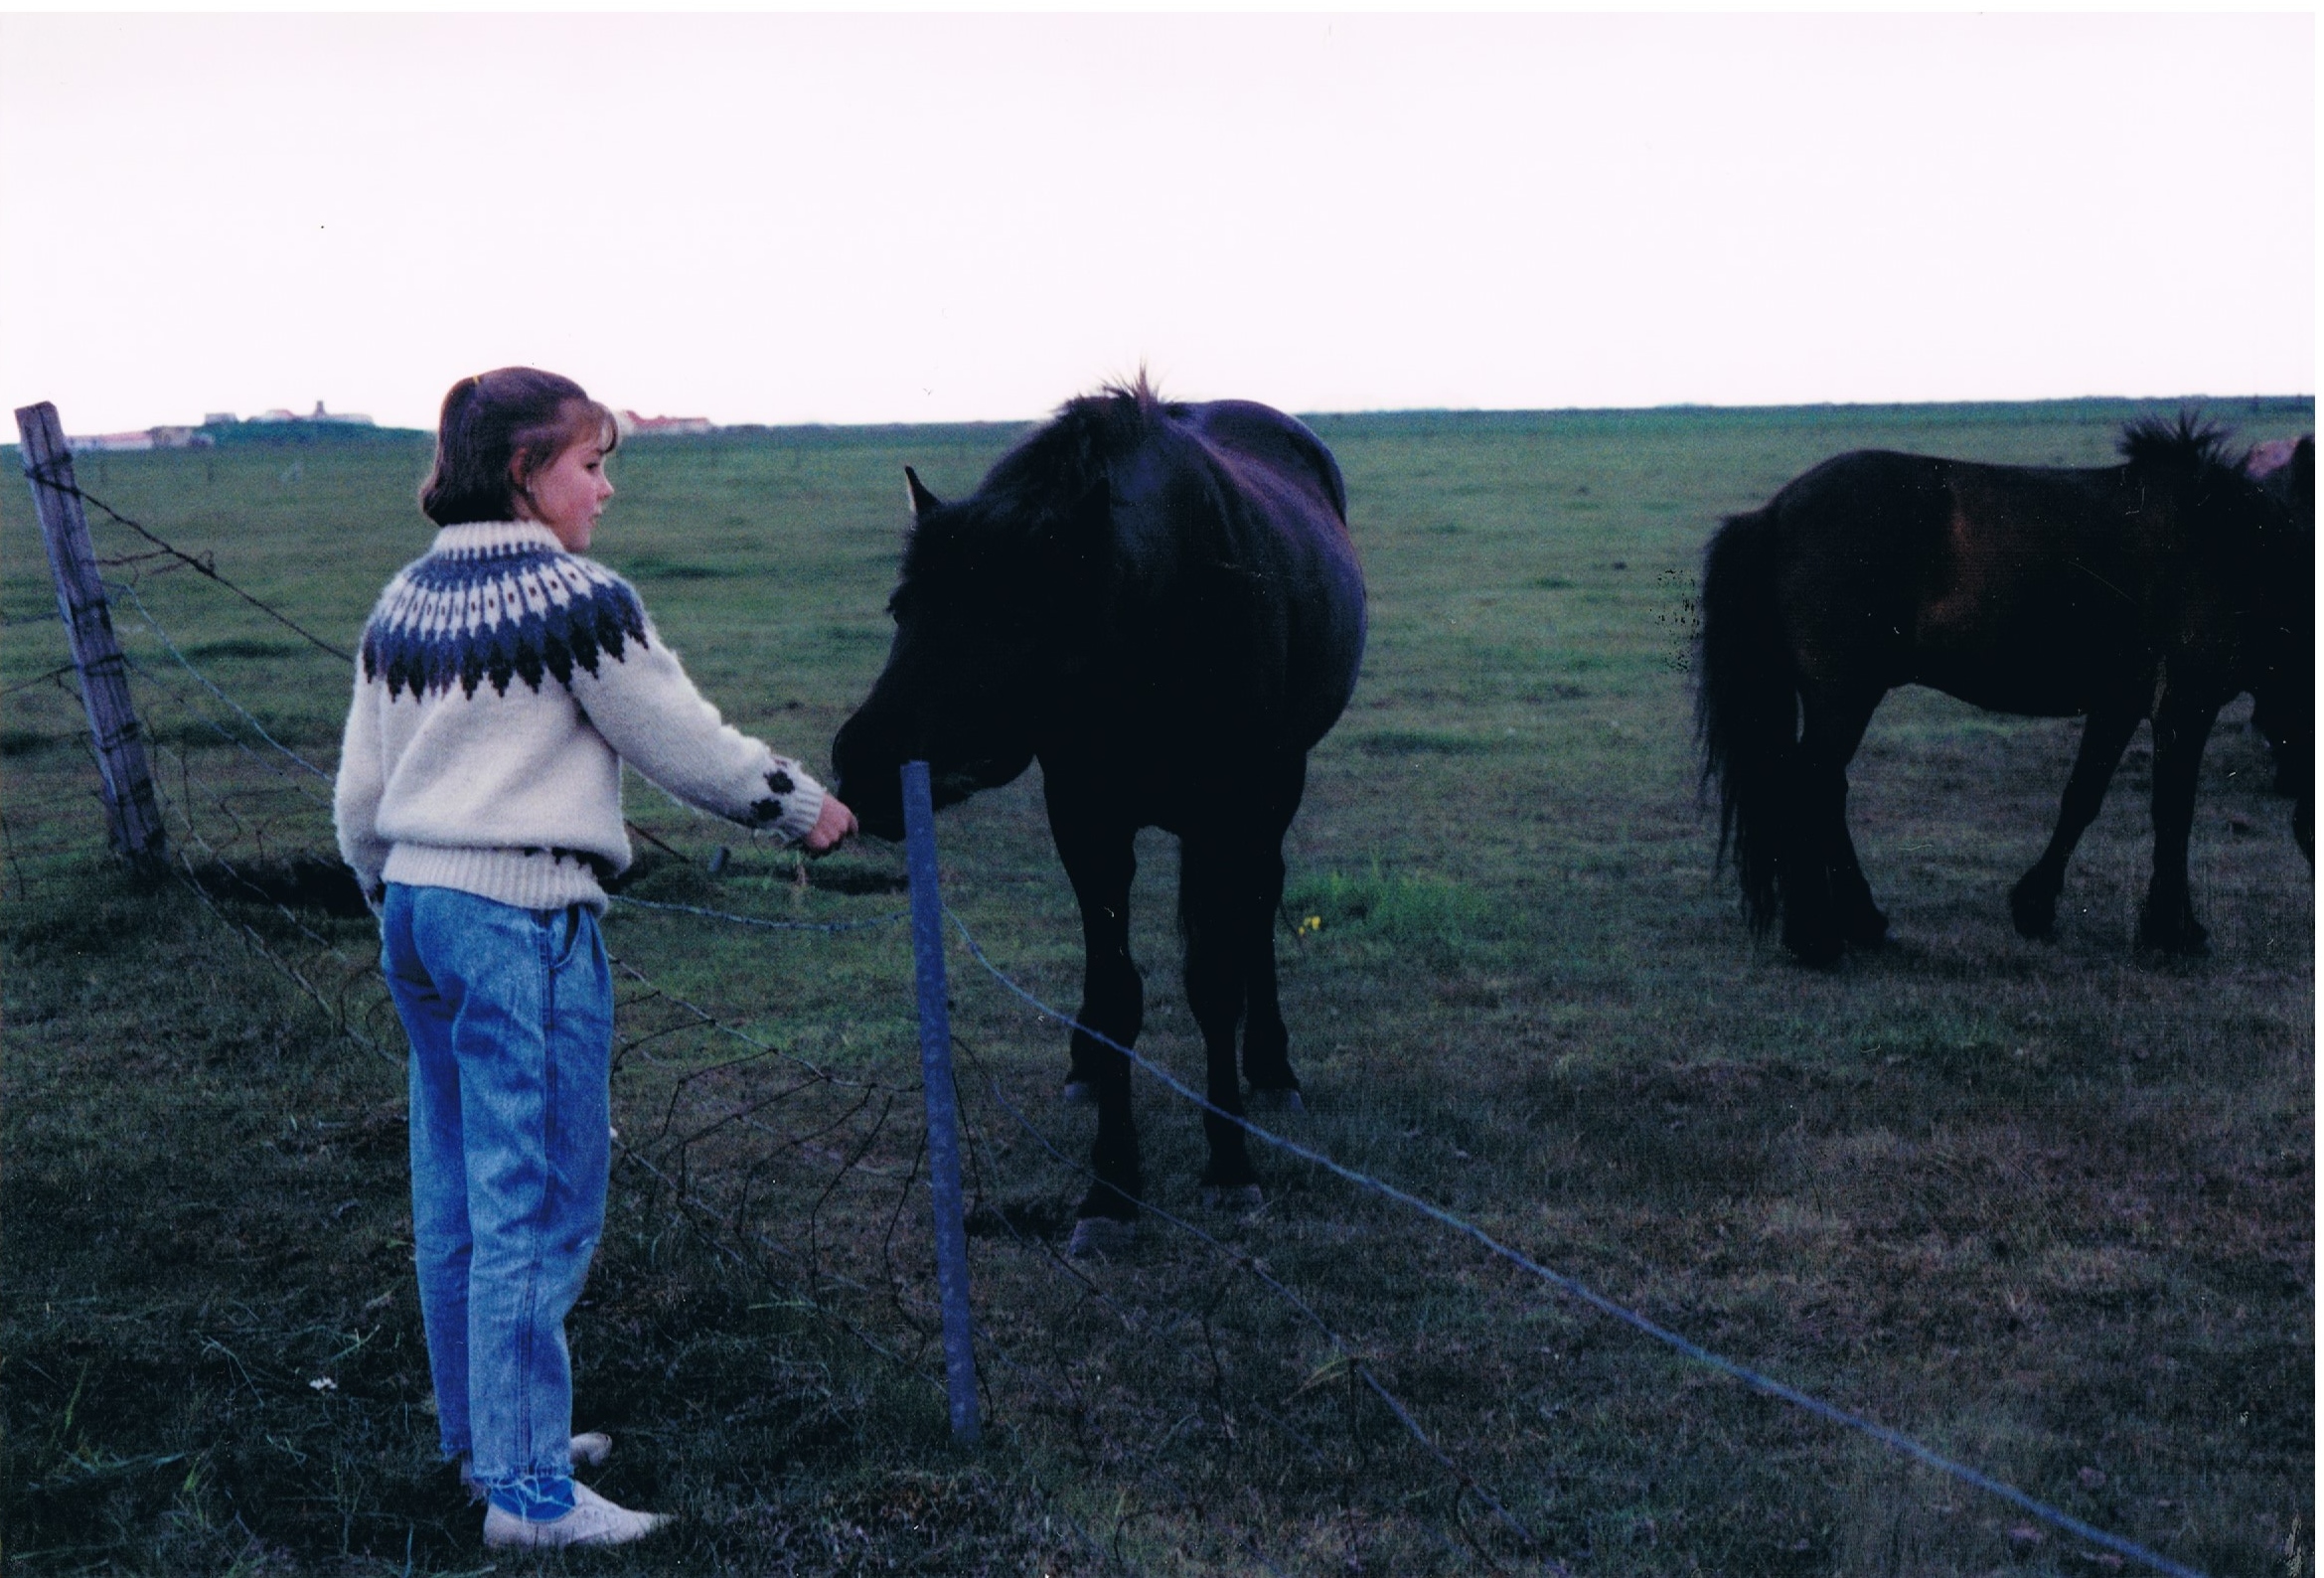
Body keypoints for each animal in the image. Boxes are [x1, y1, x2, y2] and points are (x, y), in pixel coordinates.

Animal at [830, 380, 1367, 1255]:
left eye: (1014, 619)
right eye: (902, 607)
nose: (864, 764)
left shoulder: (1228, 812)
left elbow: (1213, 979)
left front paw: (1229, 1164)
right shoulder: (1086, 817)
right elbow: (1117, 994)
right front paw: (1111, 1188)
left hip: (1273, 792)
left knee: (1257, 907)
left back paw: (1270, 1067)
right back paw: (1086, 1067)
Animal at [1696, 415, 2312, 967]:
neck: (2228, 548)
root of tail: (1774, 512)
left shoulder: (2120, 702)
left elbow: (2082, 798)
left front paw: (2035, 907)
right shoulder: (2187, 699)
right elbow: (2173, 810)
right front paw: (2174, 930)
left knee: (1826, 791)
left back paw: (1861, 922)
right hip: (1842, 697)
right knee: (1811, 787)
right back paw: (1816, 940)